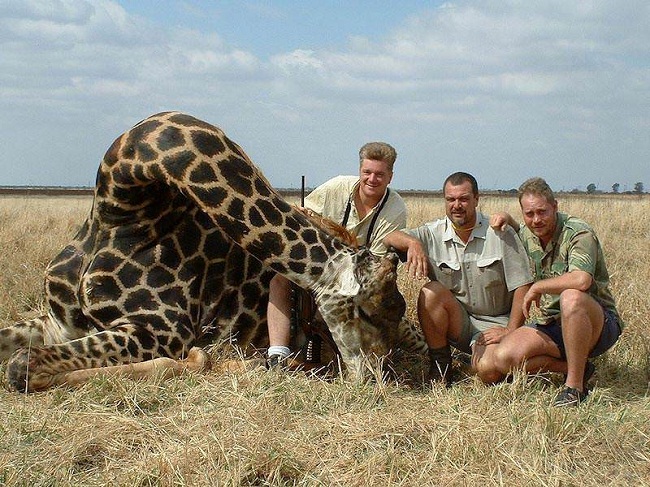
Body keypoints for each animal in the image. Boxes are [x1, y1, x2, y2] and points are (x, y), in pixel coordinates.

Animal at [0, 112, 406, 392]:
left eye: (394, 311)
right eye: (369, 313)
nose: (377, 377)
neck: (120, 207)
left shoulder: (162, 332)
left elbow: (23, 365)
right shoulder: (59, 322)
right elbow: (20, 359)